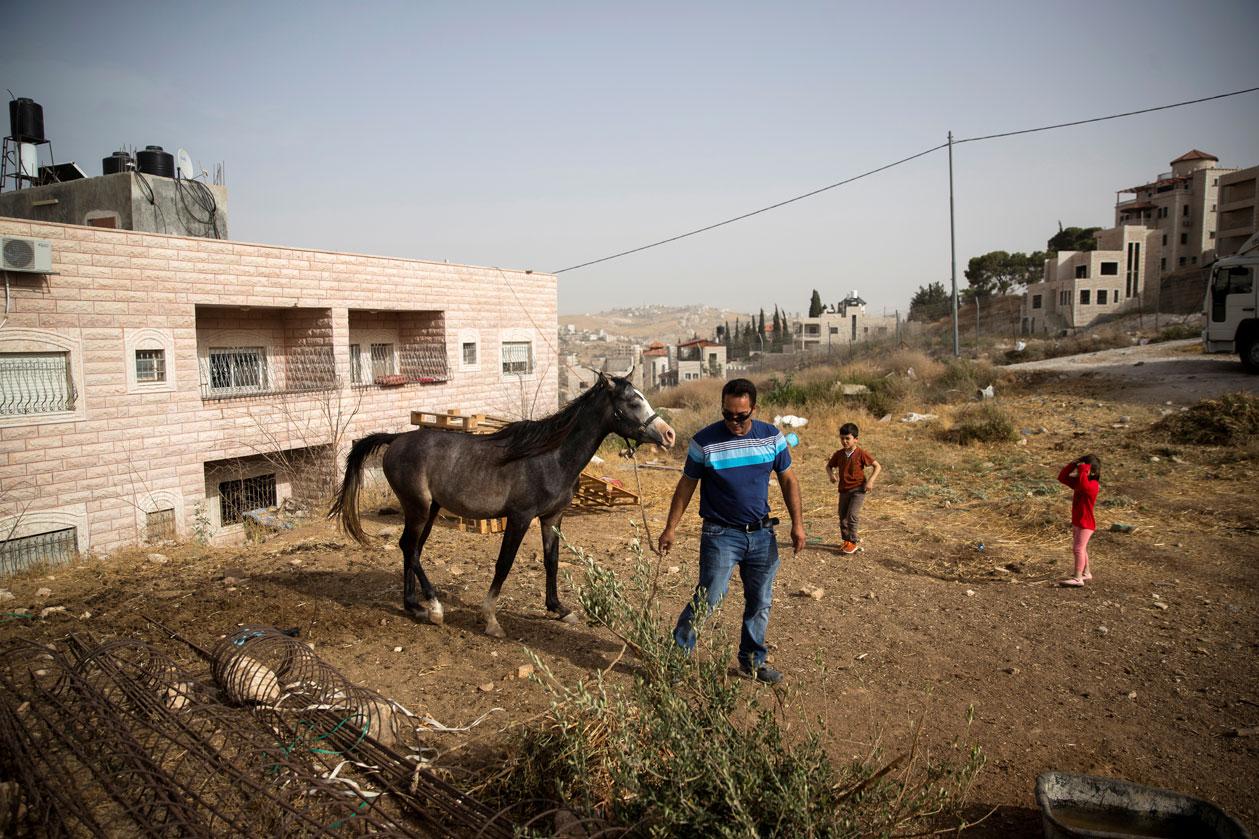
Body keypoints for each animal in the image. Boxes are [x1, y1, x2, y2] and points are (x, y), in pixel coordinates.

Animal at [329, 370, 674, 634]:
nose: (668, 434)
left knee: (411, 550)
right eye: (633, 401)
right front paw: (490, 618)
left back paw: (414, 606)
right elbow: (504, 563)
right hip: (418, 509)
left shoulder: (552, 517)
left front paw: (559, 609)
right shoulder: (520, 517)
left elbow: (551, 561)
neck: (550, 456)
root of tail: (396, 439)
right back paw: (435, 607)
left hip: (428, 511)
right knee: (409, 549)